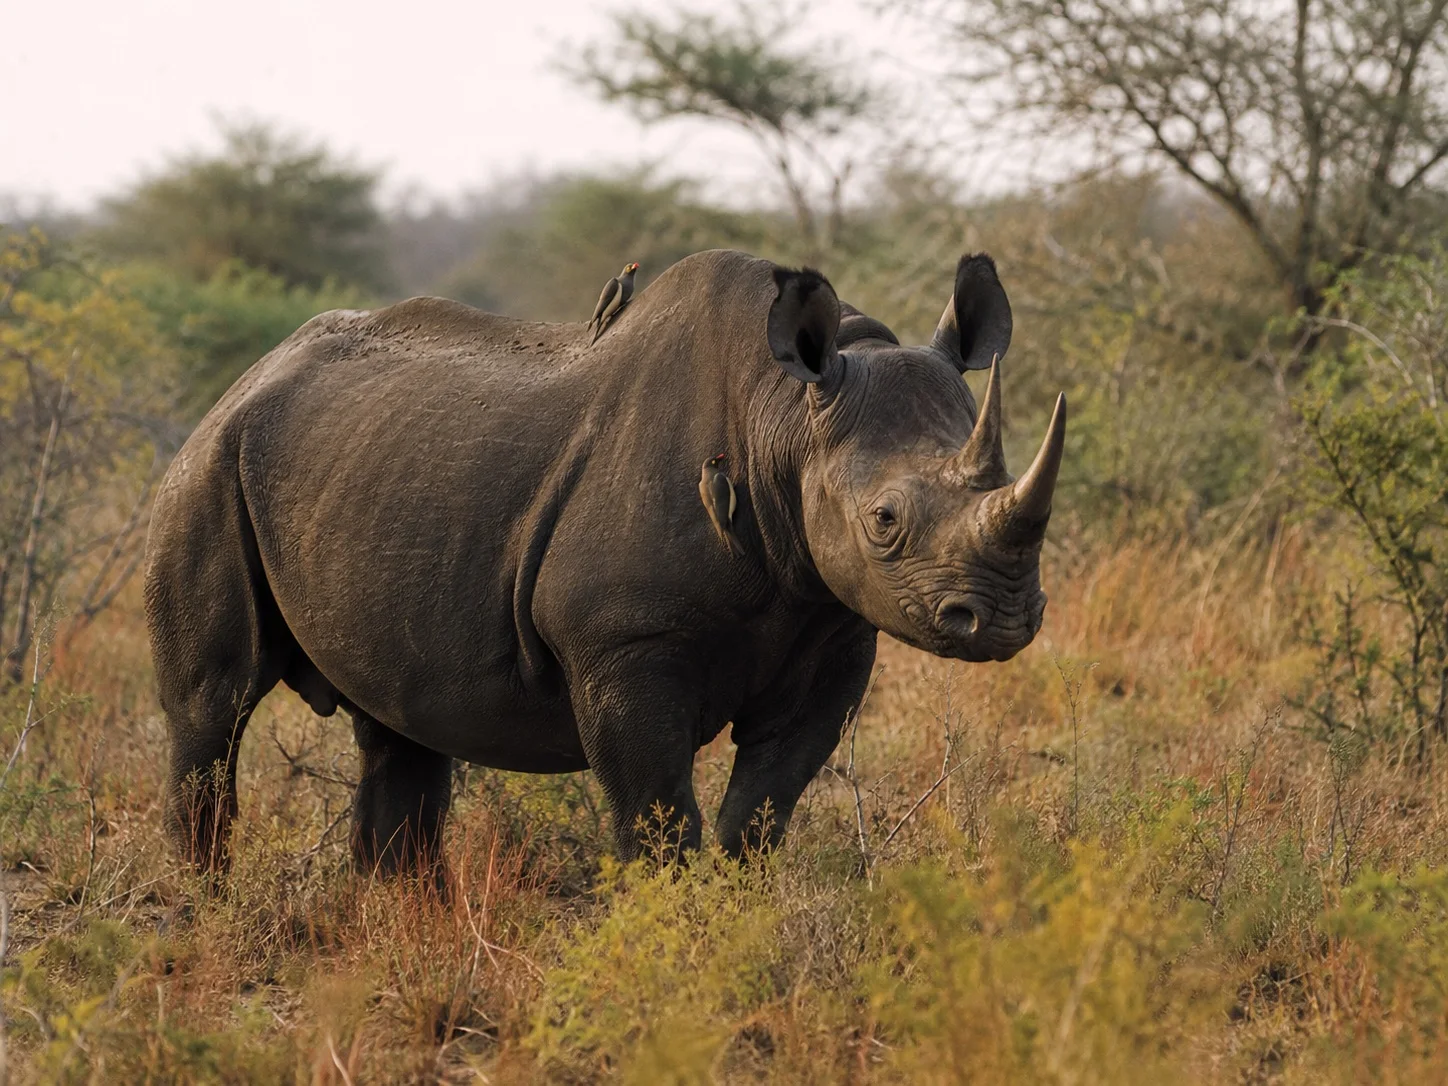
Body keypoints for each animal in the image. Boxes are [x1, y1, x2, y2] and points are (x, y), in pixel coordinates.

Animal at [145, 249, 1066, 879]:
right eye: (885, 521)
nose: (1003, 619)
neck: (786, 418)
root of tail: (249, 376)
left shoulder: (831, 629)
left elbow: (762, 811)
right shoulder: (623, 641)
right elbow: (657, 816)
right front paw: (672, 943)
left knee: (398, 726)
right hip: (210, 466)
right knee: (213, 708)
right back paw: (208, 903)